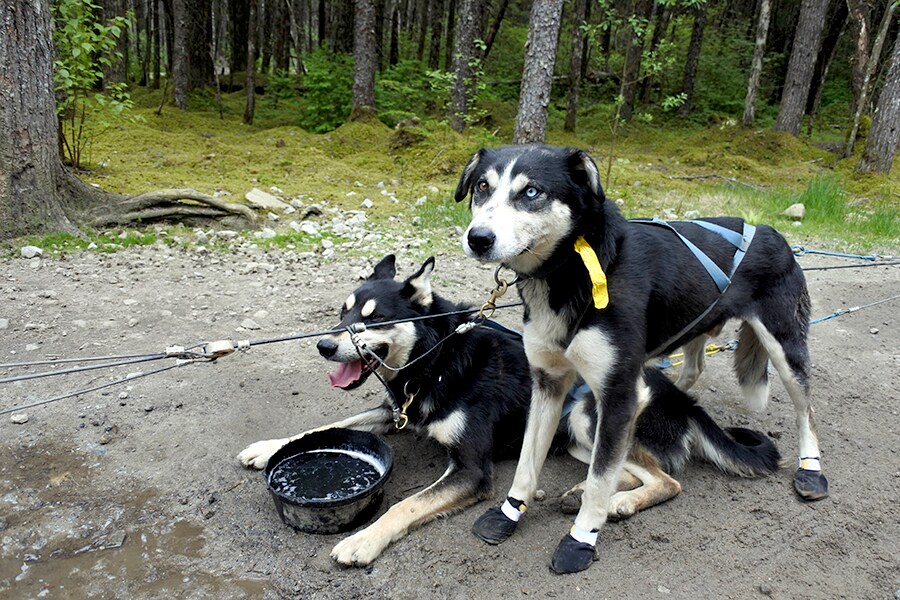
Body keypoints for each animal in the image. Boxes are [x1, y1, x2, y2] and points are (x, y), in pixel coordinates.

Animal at [237, 253, 780, 568]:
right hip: (575, 434)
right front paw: (268, 448)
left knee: (667, 480)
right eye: (343, 311)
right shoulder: (394, 411)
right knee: (621, 471)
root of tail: (683, 397)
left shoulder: (472, 470)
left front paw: (364, 540)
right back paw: (584, 494)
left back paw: (615, 505)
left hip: (587, 412)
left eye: (374, 319)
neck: (436, 360)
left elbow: (404, 504)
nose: (325, 345)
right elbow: (330, 425)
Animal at [458, 144, 828, 572]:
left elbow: (602, 478)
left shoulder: (618, 395)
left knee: (800, 414)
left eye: (531, 192)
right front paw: (509, 513)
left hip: (784, 348)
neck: (577, 269)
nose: (478, 238)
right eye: (482, 187)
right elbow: (527, 464)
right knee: (681, 395)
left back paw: (810, 469)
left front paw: (581, 539)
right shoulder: (548, 383)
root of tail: (773, 232)